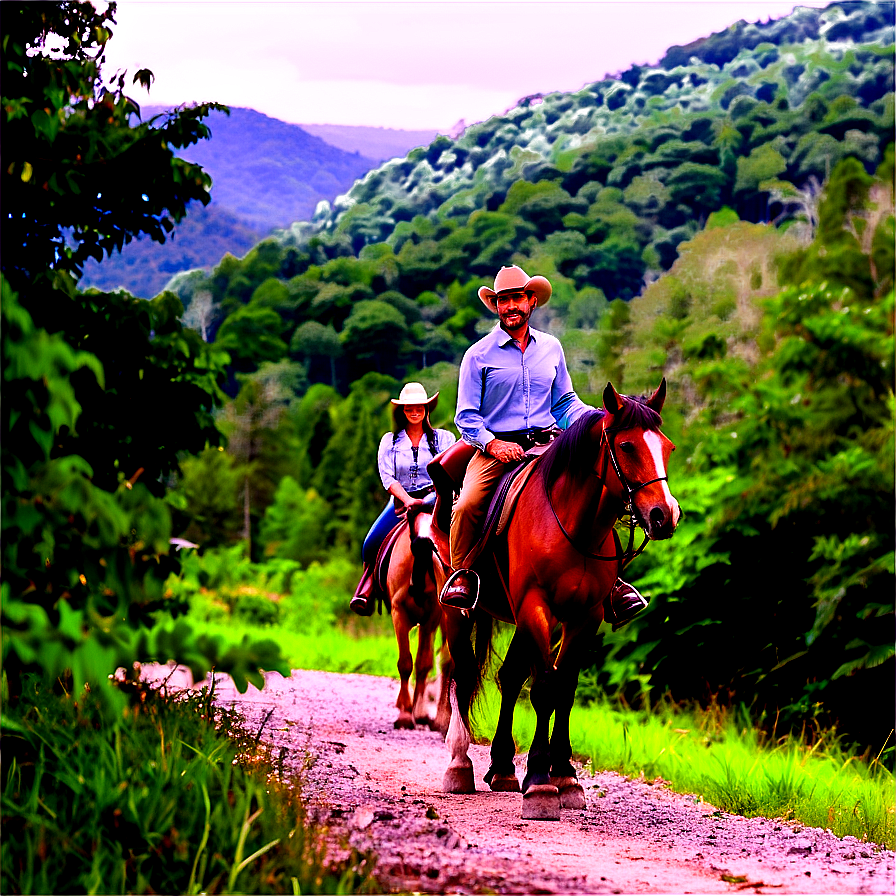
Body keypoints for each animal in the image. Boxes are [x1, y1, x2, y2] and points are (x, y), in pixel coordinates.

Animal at [434, 378, 680, 820]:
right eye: (627, 446)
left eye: (666, 447)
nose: (664, 515)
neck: (572, 524)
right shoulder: (537, 608)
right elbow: (545, 687)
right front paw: (540, 784)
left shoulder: (584, 617)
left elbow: (564, 688)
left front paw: (564, 776)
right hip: (458, 613)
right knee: (463, 675)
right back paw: (460, 766)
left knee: (508, 677)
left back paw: (502, 768)